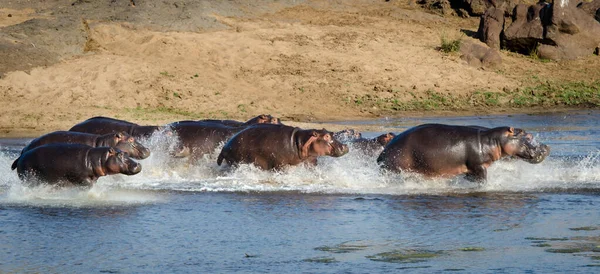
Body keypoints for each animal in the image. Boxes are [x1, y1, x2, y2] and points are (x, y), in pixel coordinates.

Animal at [14, 144, 142, 187]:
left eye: (126, 153)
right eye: (120, 154)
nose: (138, 164)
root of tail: (20, 157)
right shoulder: (82, 178)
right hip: (29, 176)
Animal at [217, 124, 350, 171]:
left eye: (331, 133)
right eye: (326, 136)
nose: (345, 146)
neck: (299, 141)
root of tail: (224, 147)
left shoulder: (310, 160)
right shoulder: (281, 164)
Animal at [378, 124, 552, 182]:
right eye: (526, 136)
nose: (546, 148)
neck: (491, 141)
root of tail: (382, 154)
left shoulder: (470, 169)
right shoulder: (478, 166)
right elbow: (482, 179)